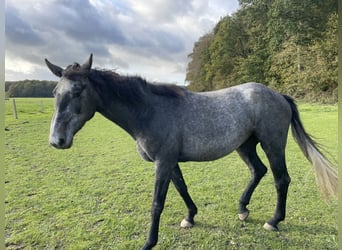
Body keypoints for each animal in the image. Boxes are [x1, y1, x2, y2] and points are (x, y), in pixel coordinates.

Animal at [44, 53, 336, 249]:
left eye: (78, 90)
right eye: (55, 91)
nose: (57, 140)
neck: (149, 111)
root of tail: (279, 95)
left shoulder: (162, 162)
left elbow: (157, 203)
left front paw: (149, 242)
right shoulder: (171, 162)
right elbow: (182, 188)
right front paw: (190, 217)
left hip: (272, 144)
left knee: (280, 179)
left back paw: (273, 221)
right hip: (245, 146)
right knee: (258, 171)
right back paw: (242, 209)